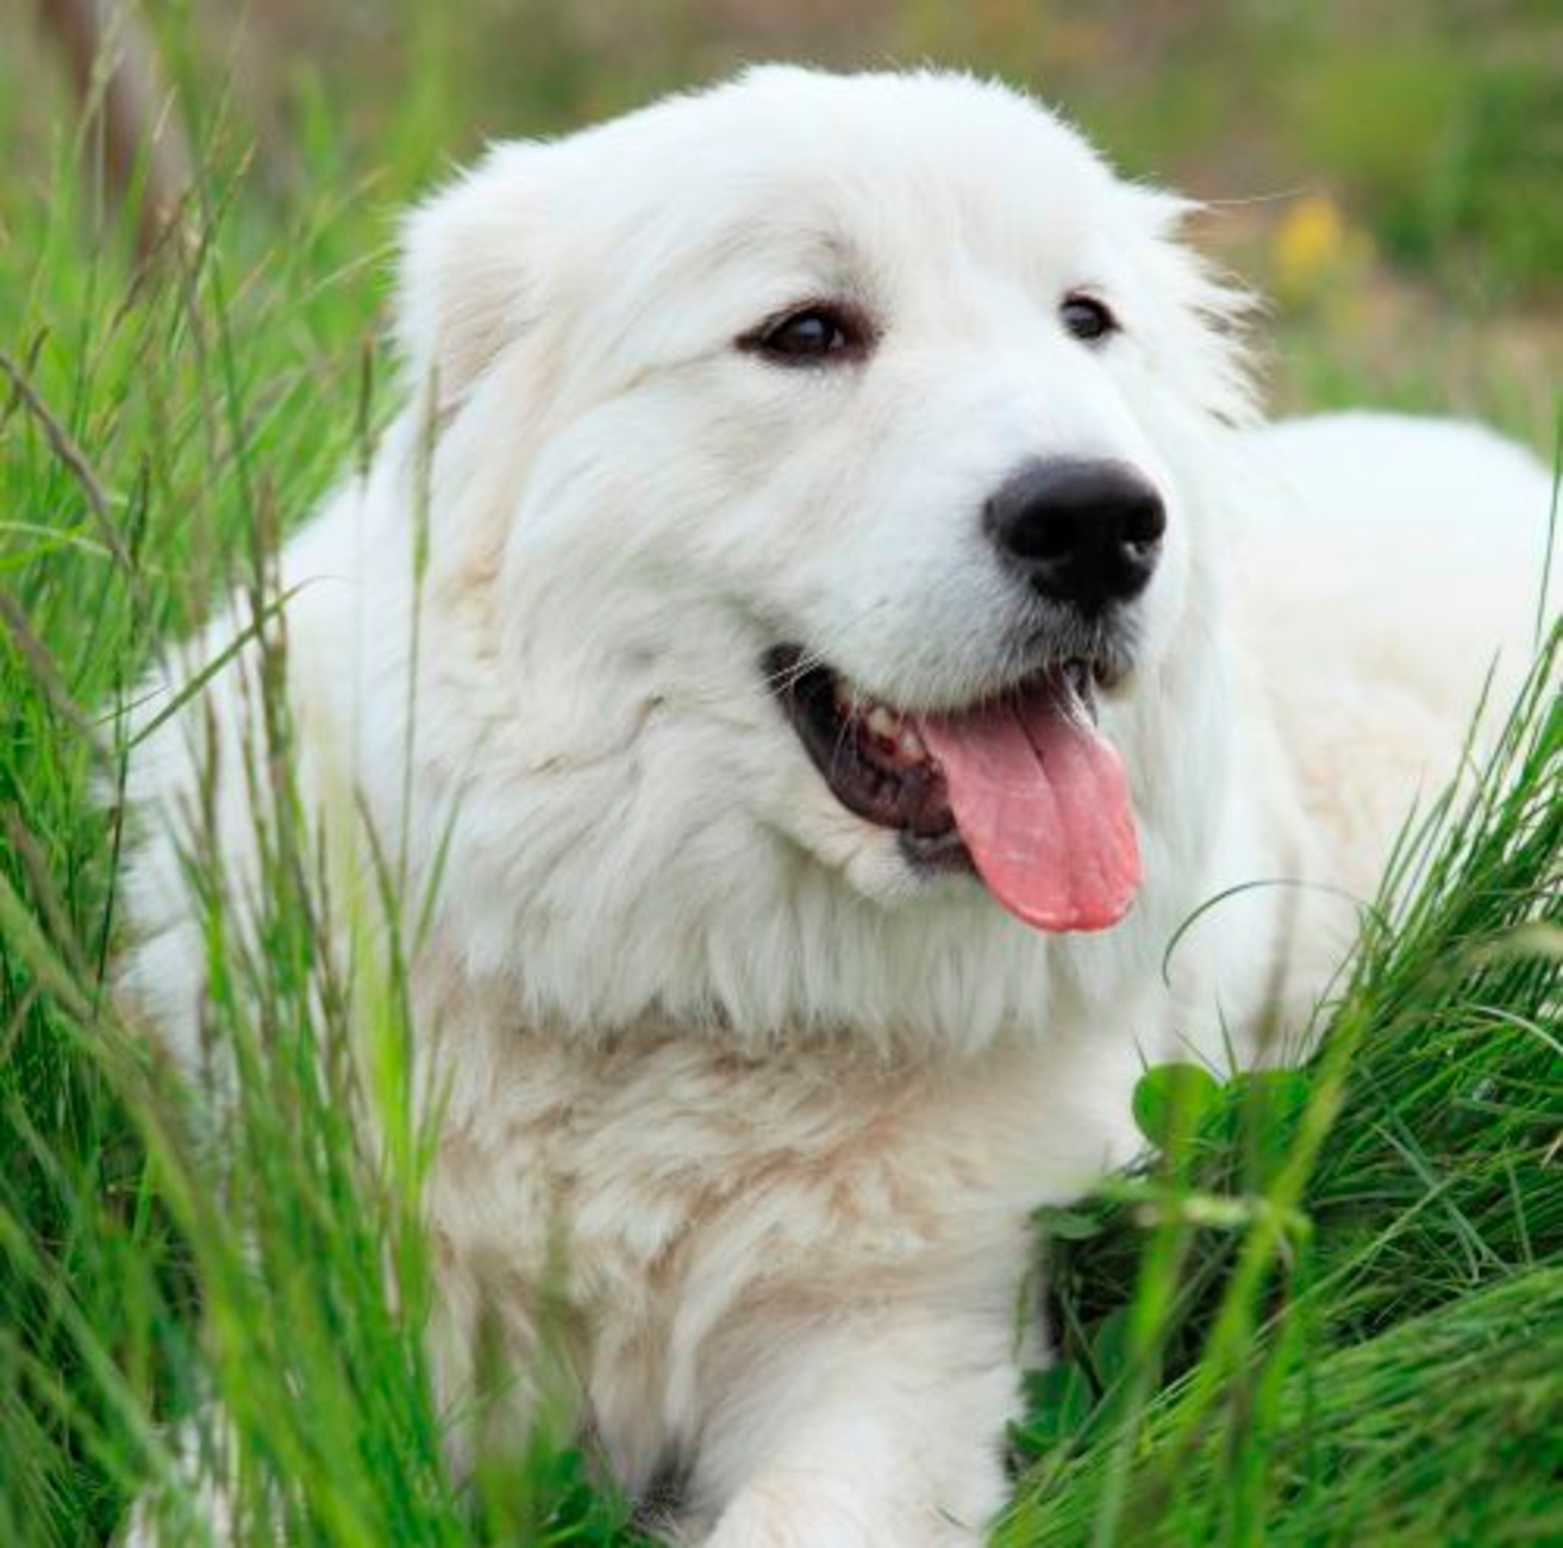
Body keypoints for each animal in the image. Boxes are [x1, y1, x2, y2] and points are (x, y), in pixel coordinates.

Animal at [125, 66, 1550, 1544]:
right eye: (806, 332)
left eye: (1084, 320)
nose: (1099, 522)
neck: (692, 999)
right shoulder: (345, 1318)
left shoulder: (896, 1349)